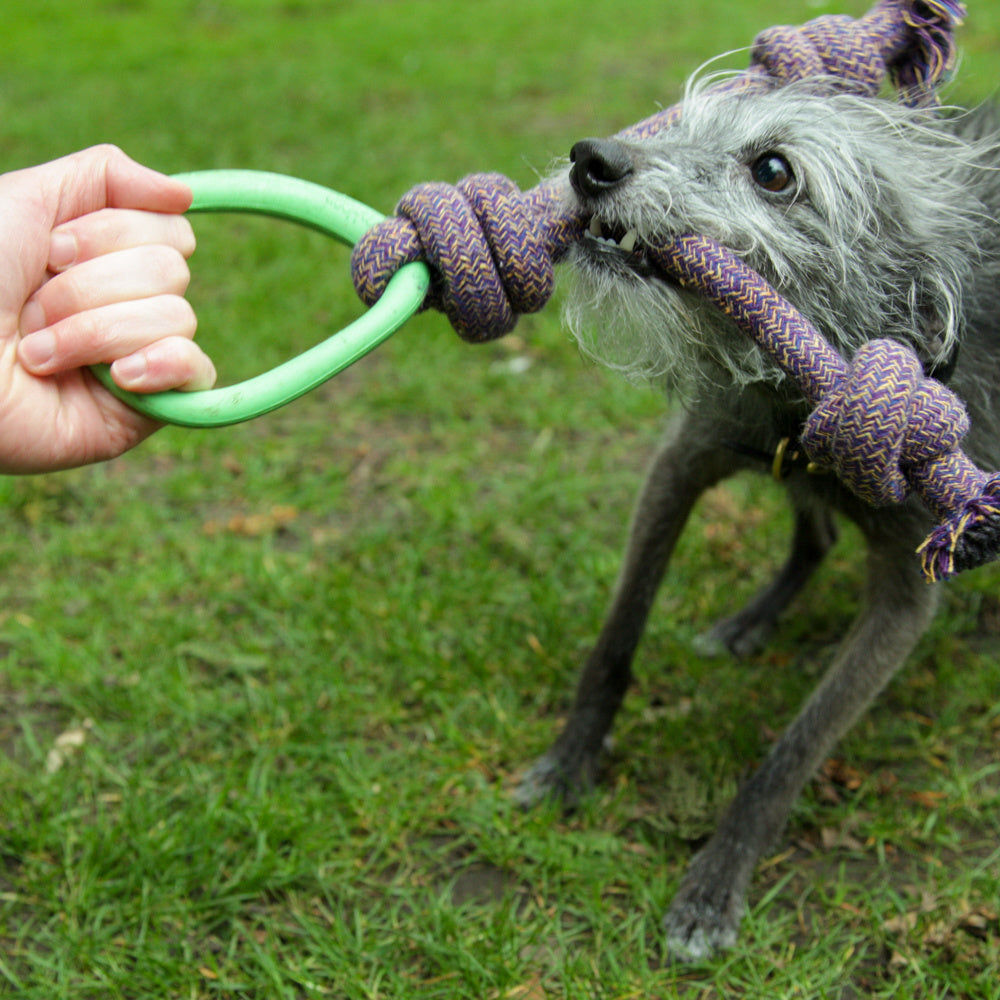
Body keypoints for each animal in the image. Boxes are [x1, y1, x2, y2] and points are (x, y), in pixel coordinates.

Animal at [512, 72, 1000, 960]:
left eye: (773, 170)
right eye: (680, 124)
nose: (591, 160)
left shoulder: (905, 598)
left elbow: (793, 753)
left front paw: (713, 885)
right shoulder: (683, 466)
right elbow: (614, 642)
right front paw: (568, 763)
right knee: (816, 531)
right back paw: (751, 620)